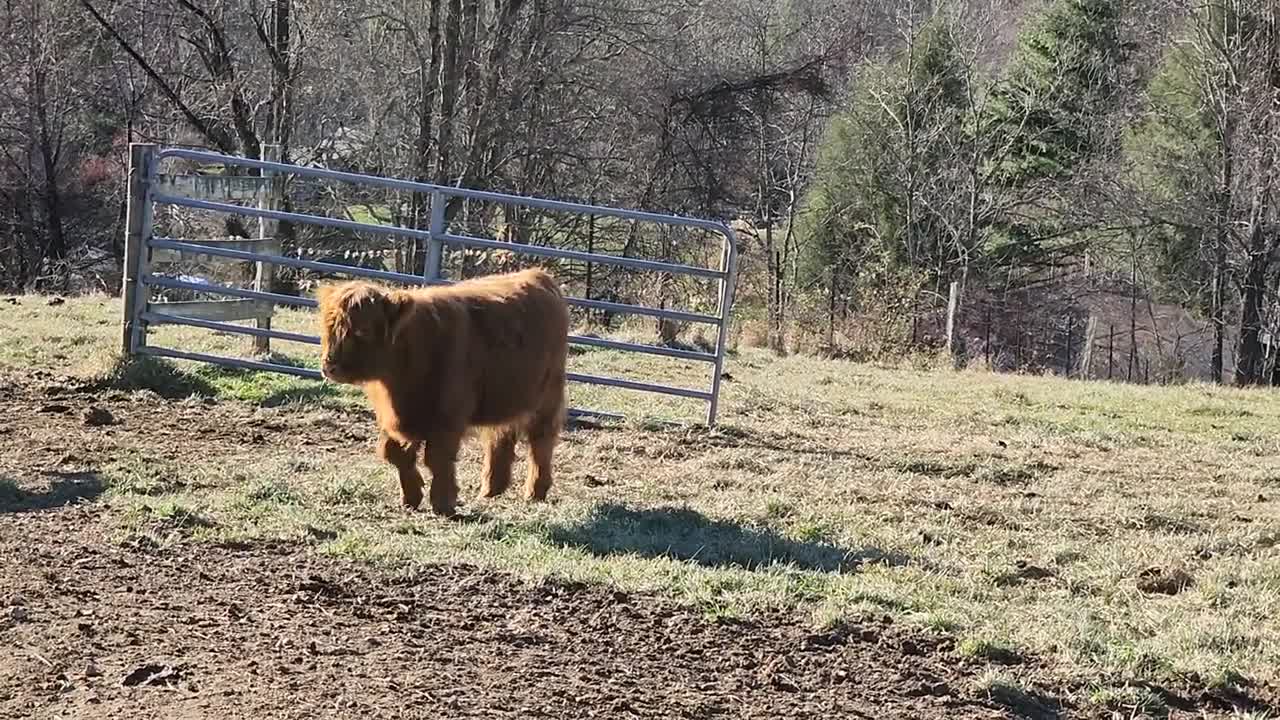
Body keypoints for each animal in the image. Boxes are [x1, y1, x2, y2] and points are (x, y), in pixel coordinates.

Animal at [314, 266, 570, 512]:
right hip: (506, 396)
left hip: (547, 395)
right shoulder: (396, 416)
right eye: (328, 328)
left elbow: (438, 458)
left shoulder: (448, 416)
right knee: (500, 436)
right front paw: (411, 496)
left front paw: (443, 502)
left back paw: (535, 491)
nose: (329, 366)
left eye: (363, 330)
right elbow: (393, 451)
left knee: (541, 440)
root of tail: (538, 275)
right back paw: (490, 490)